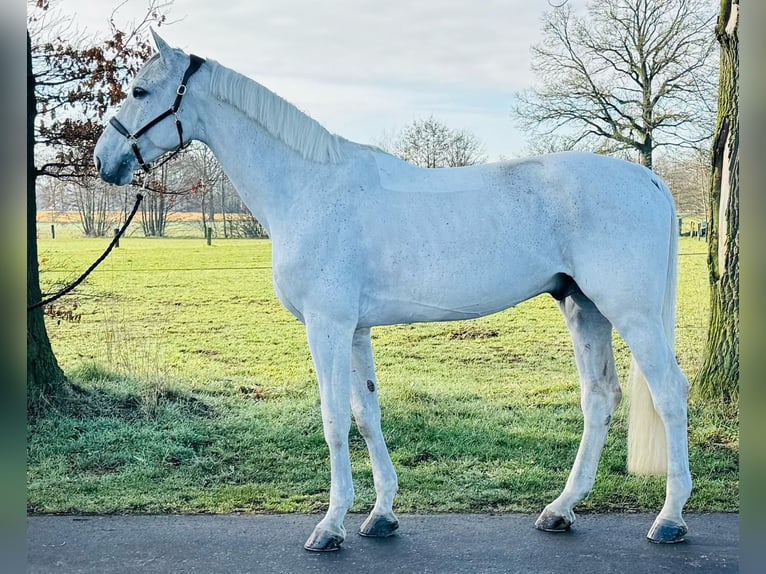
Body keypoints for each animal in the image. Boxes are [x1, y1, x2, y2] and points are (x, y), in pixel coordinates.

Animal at [93, 32, 692, 552]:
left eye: (140, 91)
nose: (105, 161)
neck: (308, 187)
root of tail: (649, 179)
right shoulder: (354, 328)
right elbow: (365, 413)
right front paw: (380, 515)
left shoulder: (327, 325)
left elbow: (334, 418)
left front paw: (330, 526)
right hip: (583, 306)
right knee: (600, 397)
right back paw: (560, 510)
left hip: (633, 314)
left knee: (668, 392)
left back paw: (669, 519)